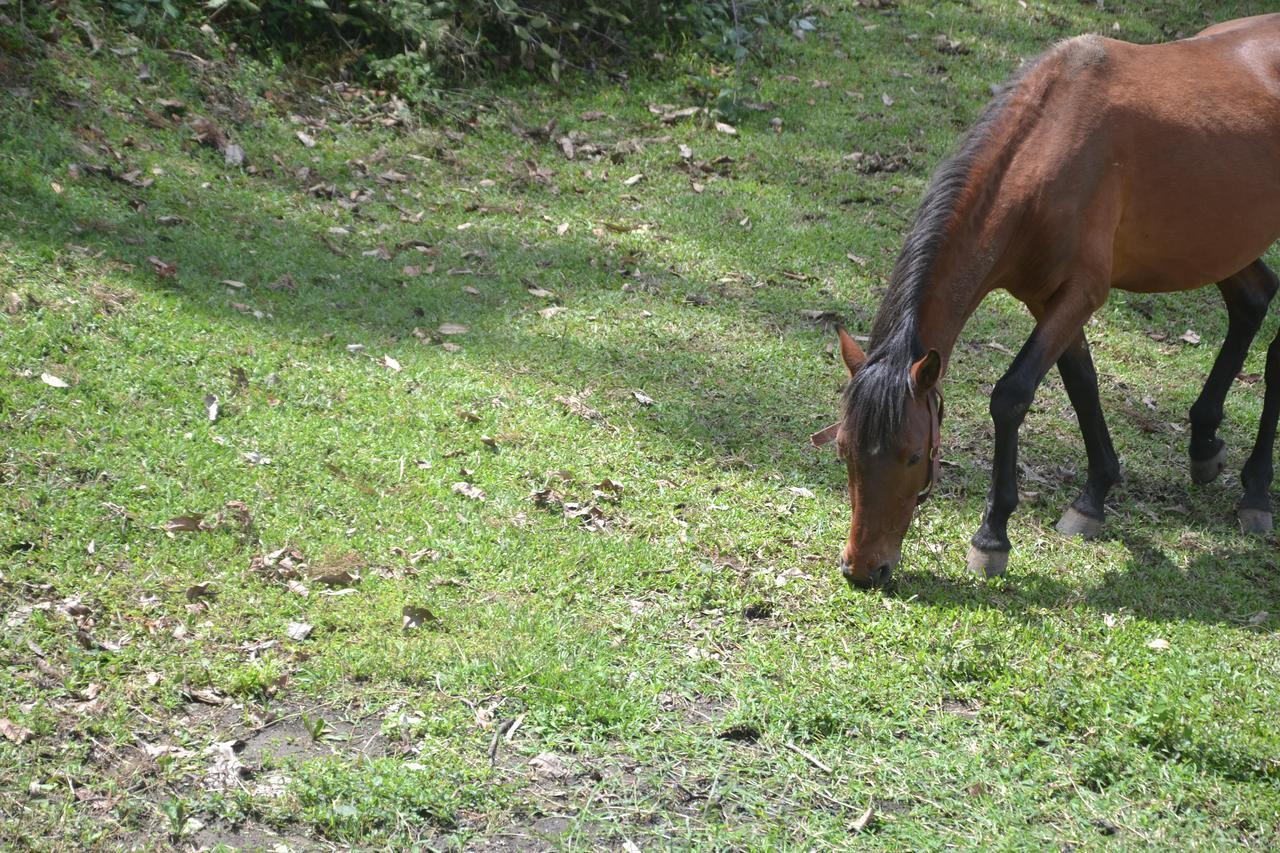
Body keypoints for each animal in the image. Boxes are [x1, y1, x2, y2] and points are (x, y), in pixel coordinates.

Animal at [819, 18, 1280, 591]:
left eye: (911, 456)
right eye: (845, 450)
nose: (863, 569)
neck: (1046, 152)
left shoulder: (1082, 293)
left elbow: (1012, 395)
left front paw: (992, 535)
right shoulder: (1048, 299)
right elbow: (1082, 385)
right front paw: (1095, 495)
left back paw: (1257, 489)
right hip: (1221, 244)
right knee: (1253, 299)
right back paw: (1204, 442)